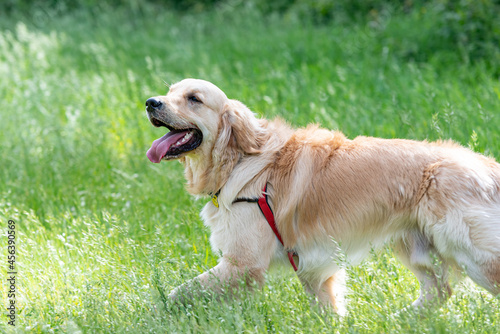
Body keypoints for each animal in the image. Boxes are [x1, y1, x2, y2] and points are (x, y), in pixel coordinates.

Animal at [145, 78, 500, 314]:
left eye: (193, 98)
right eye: (169, 92)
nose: (150, 102)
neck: (242, 161)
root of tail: (486, 164)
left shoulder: (244, 264)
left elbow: (175, 293)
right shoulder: (313, 269)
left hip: (471, 252)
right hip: (415, 245)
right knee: (439, 290)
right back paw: (400, 319)